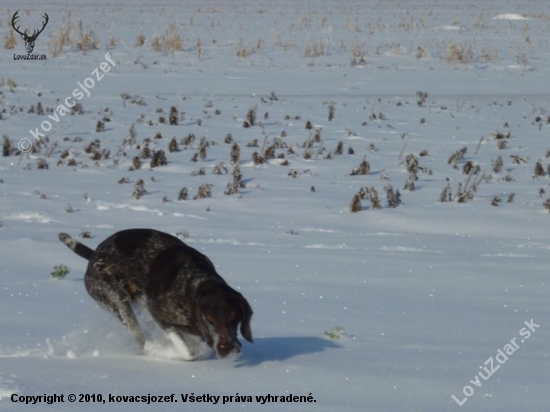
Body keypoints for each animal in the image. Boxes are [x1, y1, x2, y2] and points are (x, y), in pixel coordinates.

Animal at [57, 229, 253, 360]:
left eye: (234, 315)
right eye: (210, 317)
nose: (227, 348)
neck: (195, 282)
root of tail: (93, 256)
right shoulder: (159, 313)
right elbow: (187, 351)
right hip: (116, 298)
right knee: (139, 336)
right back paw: (151, 349)